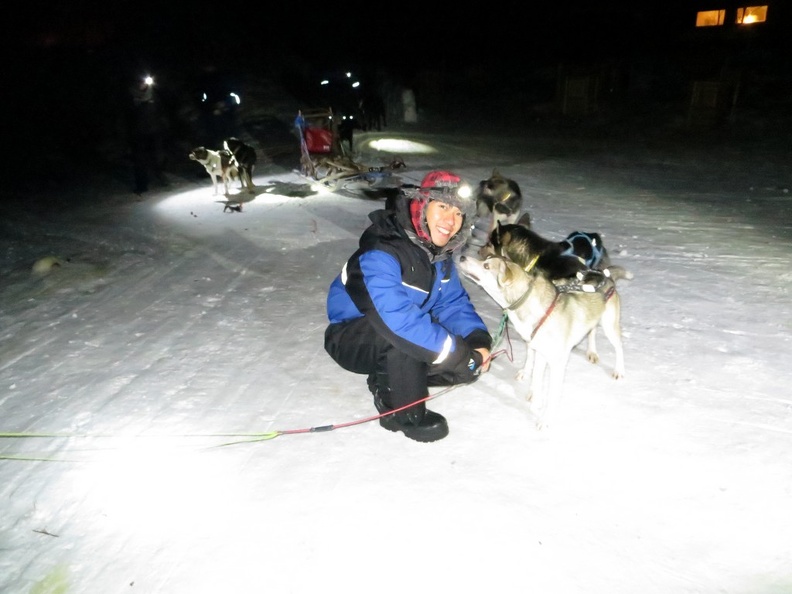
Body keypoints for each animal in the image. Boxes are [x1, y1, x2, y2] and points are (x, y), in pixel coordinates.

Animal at [458, 252, 624, 428]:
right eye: (485, 260)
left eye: (486, 266)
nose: (462, 257)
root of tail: (606, 276)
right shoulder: (539, 351)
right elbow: (536, 377)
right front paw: (535, 401)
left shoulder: (557, 363)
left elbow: (552, 394)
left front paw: (546, 419)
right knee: (592, 331)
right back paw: (592, 351)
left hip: (609, 327)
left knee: (619, 347)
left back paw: (619, 370)